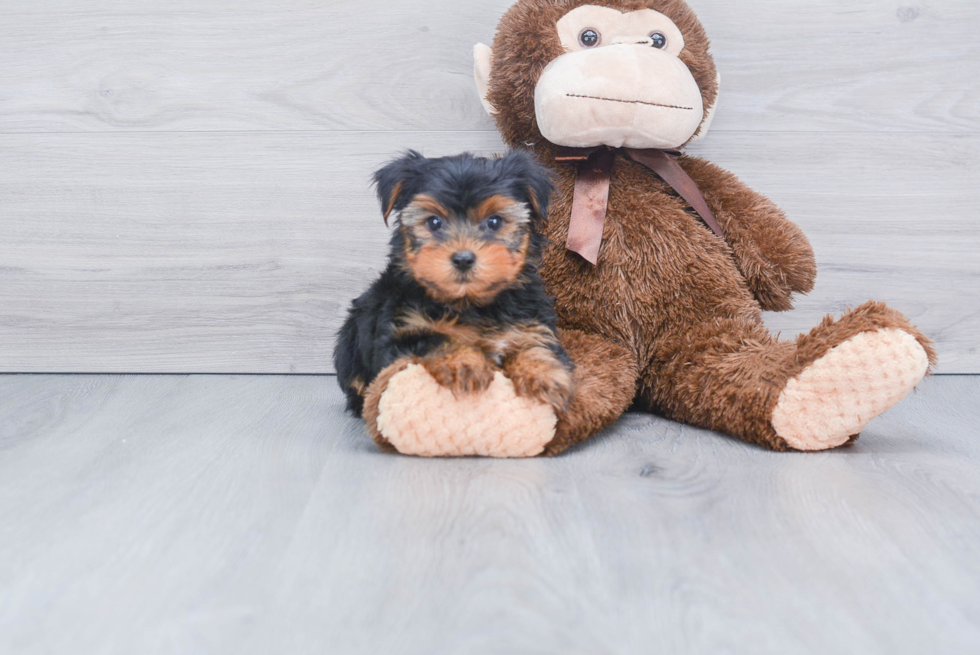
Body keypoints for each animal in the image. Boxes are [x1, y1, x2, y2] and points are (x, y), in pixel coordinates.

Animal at [334, 151, 576, 418]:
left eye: (494, 222)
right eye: (434, 222)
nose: (463, 259)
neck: (471, 304)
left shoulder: (532, 321)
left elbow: (536, 344)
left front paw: (544, 376)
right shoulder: (402, 330)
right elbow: (436, 338)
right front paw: (465, 365)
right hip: (350, 341)